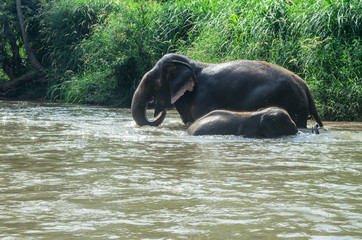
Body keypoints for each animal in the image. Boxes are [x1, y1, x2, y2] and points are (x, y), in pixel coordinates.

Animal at [132, 53, 324, 128]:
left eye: (150, 80)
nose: (160, 111)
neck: (191, 64)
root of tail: (304, 85)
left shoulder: (203, 99)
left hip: (292, 102)